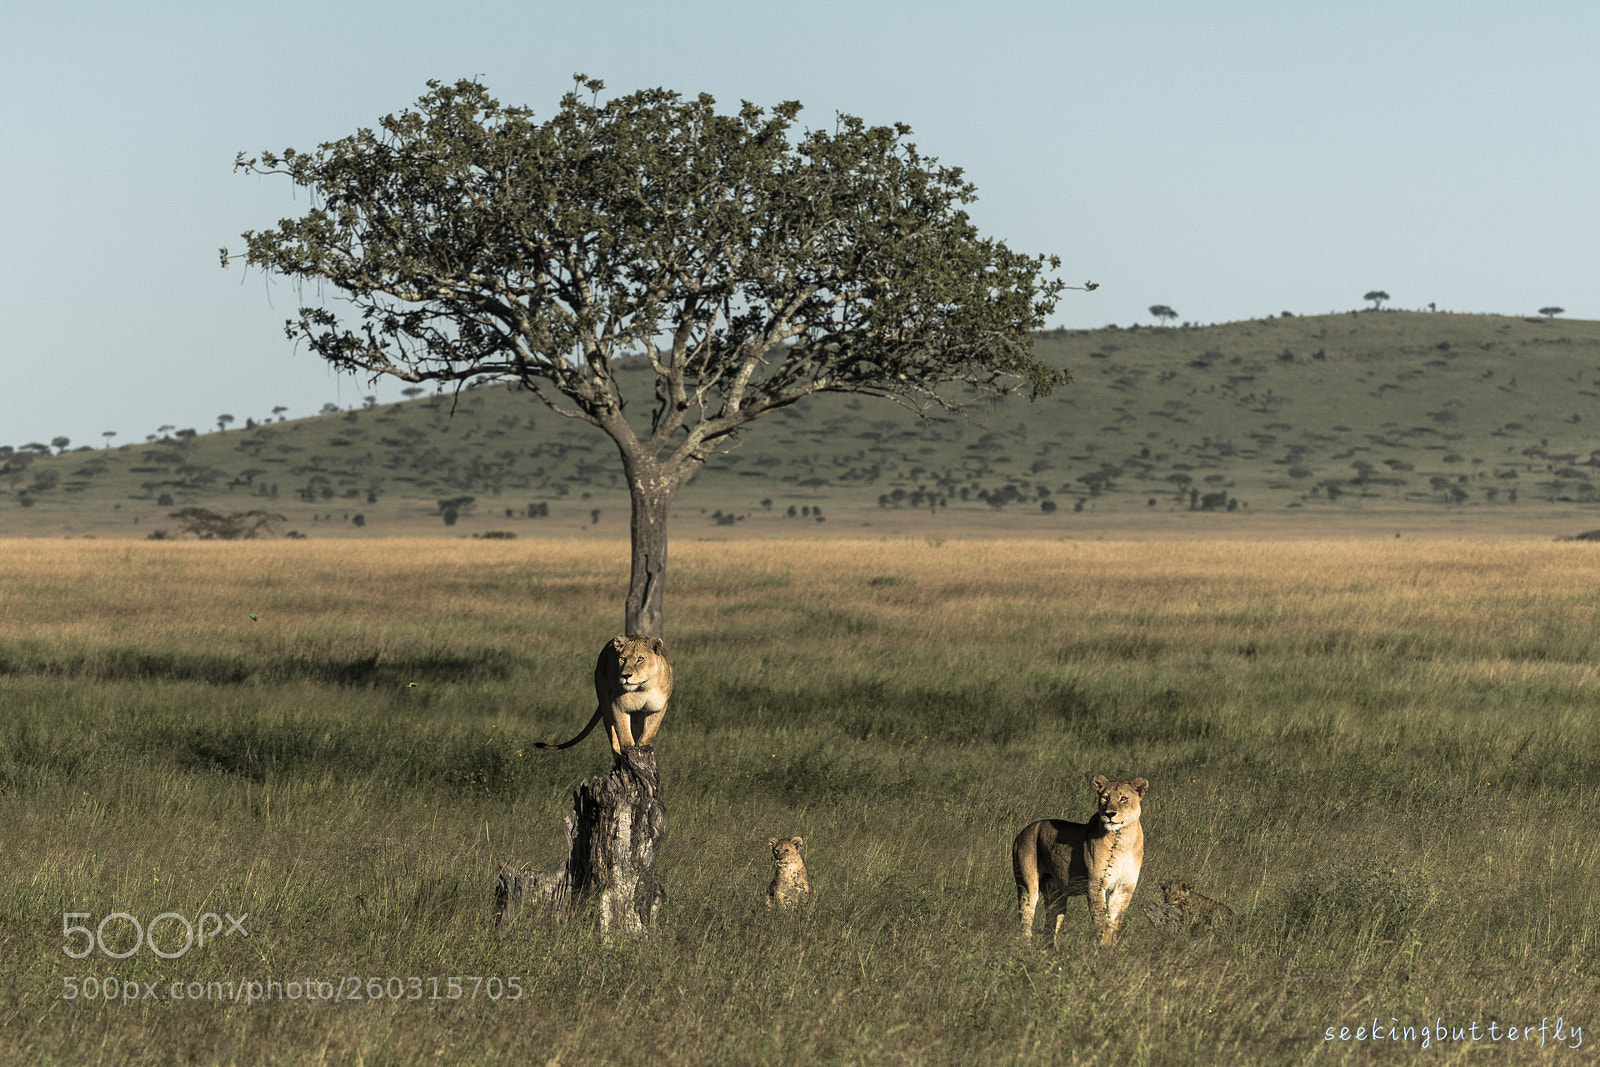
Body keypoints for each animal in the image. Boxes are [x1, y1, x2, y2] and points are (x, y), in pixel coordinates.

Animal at [535, 635, 673, 756]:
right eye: (623, 658)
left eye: (640, 659)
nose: (625, 675)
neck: (643, 688)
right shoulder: (618, 706)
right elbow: (624, 734)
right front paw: (629, 749)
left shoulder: (658, 708)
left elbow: (650, 732)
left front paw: (643, 748)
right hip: (606, 706)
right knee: (613, 737)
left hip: (636, 717)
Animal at [1013, 774, 1149, 948]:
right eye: (1105, 798)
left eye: (1123, 798)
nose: (1110, 814)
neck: (1123, 840)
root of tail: (1022, 832)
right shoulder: (1096, 884)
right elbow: (1101, 921)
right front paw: (1102, 948)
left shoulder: (1124, 888)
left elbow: (1114, 923)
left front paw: (1111, 949)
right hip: (1027, 886)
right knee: (1025, 923)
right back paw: (1025, 950)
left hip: (1056, 896)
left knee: (1049, 929)